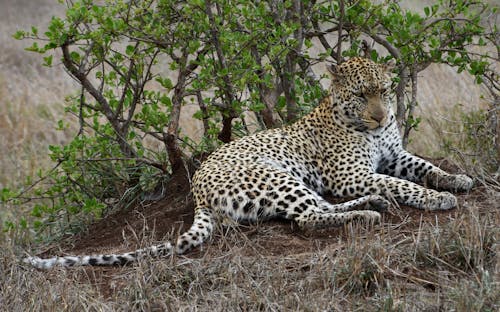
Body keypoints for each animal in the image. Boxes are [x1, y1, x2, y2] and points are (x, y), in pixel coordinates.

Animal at [24, 57, 472, 270]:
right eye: (361, 95)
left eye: (384, 90)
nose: (380, 116)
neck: (370, 130)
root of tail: (198, 191)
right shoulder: (352, 174)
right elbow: (402, 184)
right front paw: (437, 199)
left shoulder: (394, 155)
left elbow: (423, 168)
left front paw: (457, 179)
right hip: (276, 176)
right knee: (309, 218)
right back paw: (369, 213)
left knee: (316, 210)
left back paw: (373, 206)